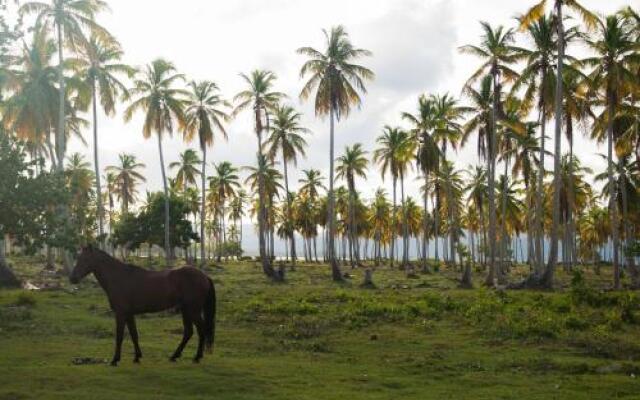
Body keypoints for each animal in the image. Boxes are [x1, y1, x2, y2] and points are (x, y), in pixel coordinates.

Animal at [69, 244, 216, 366]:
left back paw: (197, 357)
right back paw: (174, 356)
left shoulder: (121, 314)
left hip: (193, 310)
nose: (72, 278)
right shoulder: (129, 314)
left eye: (85, 259)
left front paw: (115, 360)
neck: (119, 278)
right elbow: (134, 334)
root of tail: (204, 276)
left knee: (201, 330)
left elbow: (119, 336)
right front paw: (137, 357)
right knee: (188, 332)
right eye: (78, 258)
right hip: (186, 310)